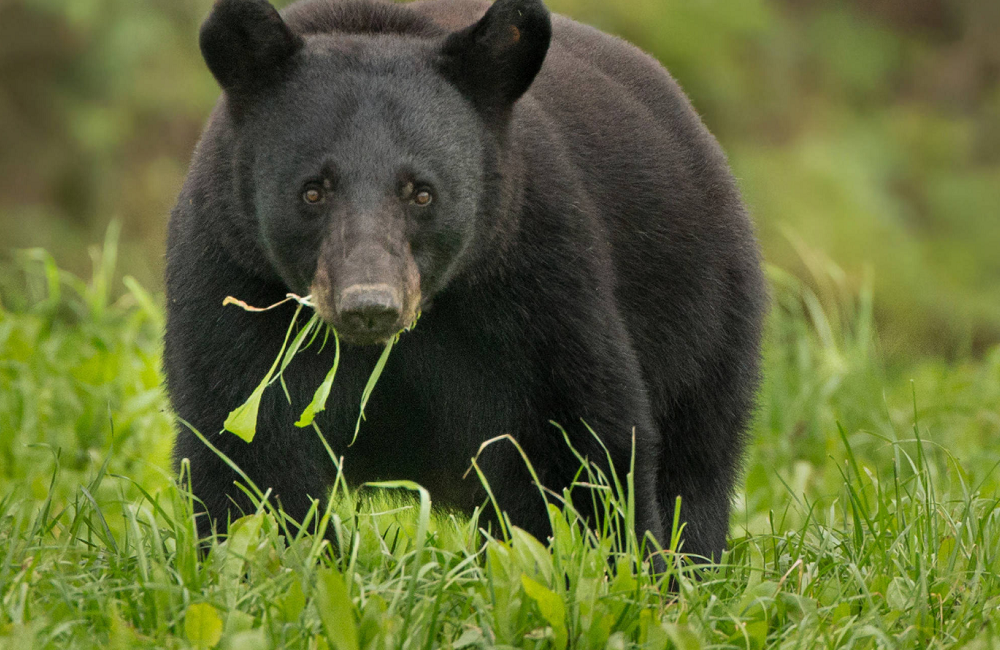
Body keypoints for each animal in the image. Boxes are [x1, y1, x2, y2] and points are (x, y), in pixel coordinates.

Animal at [166, 0, 764, 560]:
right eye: (313, 190)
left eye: (421, 192)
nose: (369, 305)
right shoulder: (234, 278)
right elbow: (249, 451)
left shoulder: (536, 283)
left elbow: (577, 448)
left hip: (704, 316)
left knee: (697, 467)